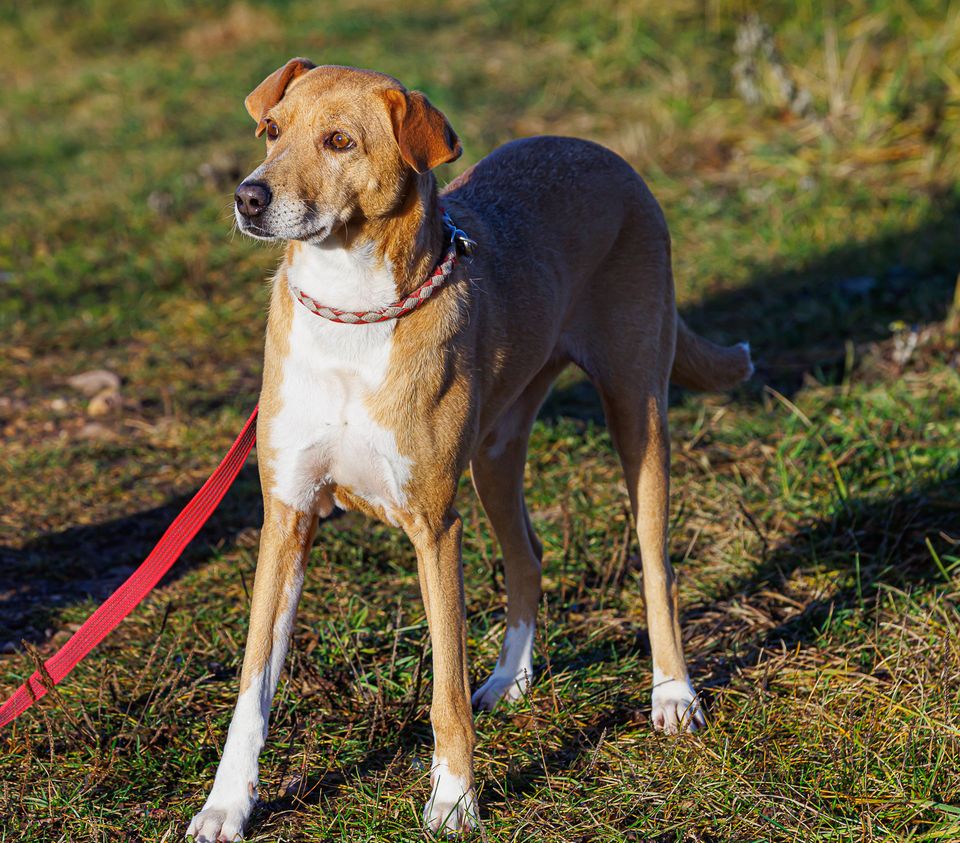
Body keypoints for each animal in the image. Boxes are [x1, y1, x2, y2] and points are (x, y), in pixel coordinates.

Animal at [186, 61, 752, 843]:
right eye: (272, 130)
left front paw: (454, 800)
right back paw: (511, 678)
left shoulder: (435, 527)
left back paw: (673, 694)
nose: (249, 196)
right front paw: (226, 804)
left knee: (656, 565)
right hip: (496, 452)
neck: (351, 315)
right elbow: (252, 687)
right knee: (528, 555)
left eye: (339, 141)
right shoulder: (287, 518)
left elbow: (445, 691)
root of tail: (600, 152)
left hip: (637, 414)